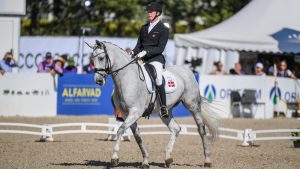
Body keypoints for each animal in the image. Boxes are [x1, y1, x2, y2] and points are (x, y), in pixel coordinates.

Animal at [86, 40, 218, 168]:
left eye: (101, 58)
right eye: (92, 58)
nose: (98, 80)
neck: (127, 79)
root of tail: (187, 70)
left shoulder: (135, 112)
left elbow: (121, 129)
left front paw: (114, 158)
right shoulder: (125, 114)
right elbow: (138, 137)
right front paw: (145, 161)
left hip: (192, 105)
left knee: (201, 129)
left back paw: (207, 160)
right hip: (165, 112)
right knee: (176, 128)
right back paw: (168, 158)